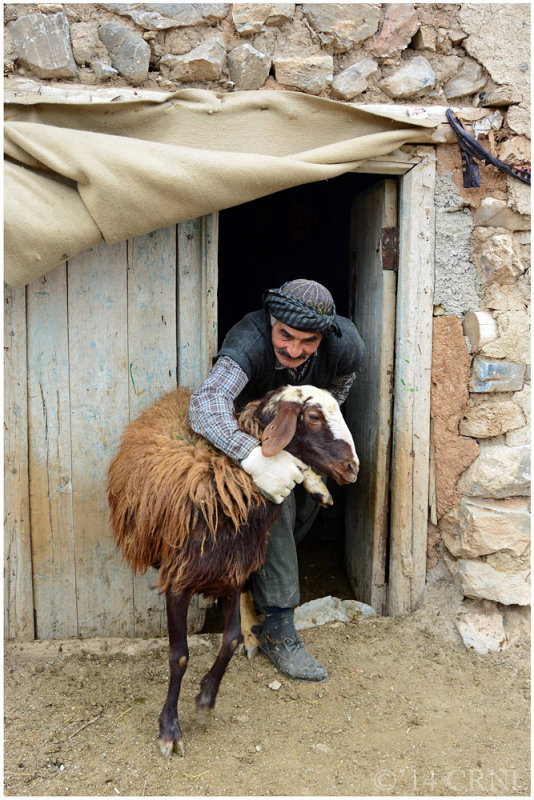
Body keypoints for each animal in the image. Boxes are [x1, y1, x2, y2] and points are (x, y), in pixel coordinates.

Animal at [108, 384, 360, 760]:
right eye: (314, 417)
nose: (352, 467)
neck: (226, 487)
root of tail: (178, 392)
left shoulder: (232, 575)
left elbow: (229, 640)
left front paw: (205, 700)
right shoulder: (178, 582)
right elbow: (179, 657)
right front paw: (169, 730)